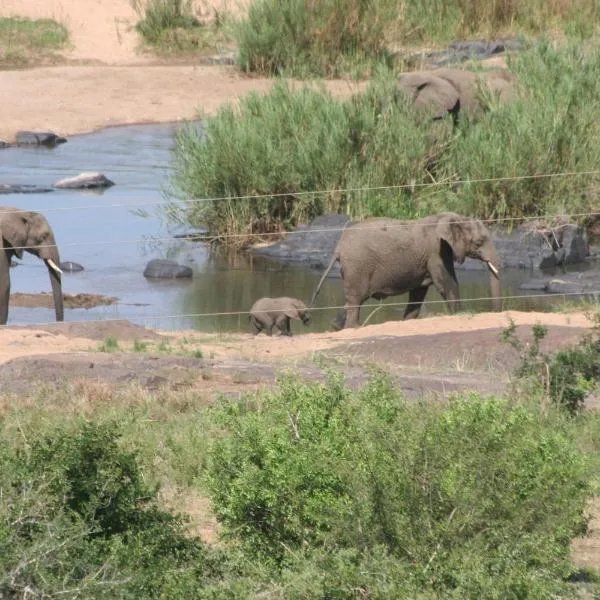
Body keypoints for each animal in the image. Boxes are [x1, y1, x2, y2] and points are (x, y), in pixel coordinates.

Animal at [310, 213, 502, 330]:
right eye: (479, 242)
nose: (495, 312)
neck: (456, 218)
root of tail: (338, 248)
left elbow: (419, 292)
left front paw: (407, 321)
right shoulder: (436, 251)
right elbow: (447, 284)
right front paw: (459, 314)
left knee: (353, 299)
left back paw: (337, 326)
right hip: (358, 266)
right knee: (356, 299)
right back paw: (354, 328)